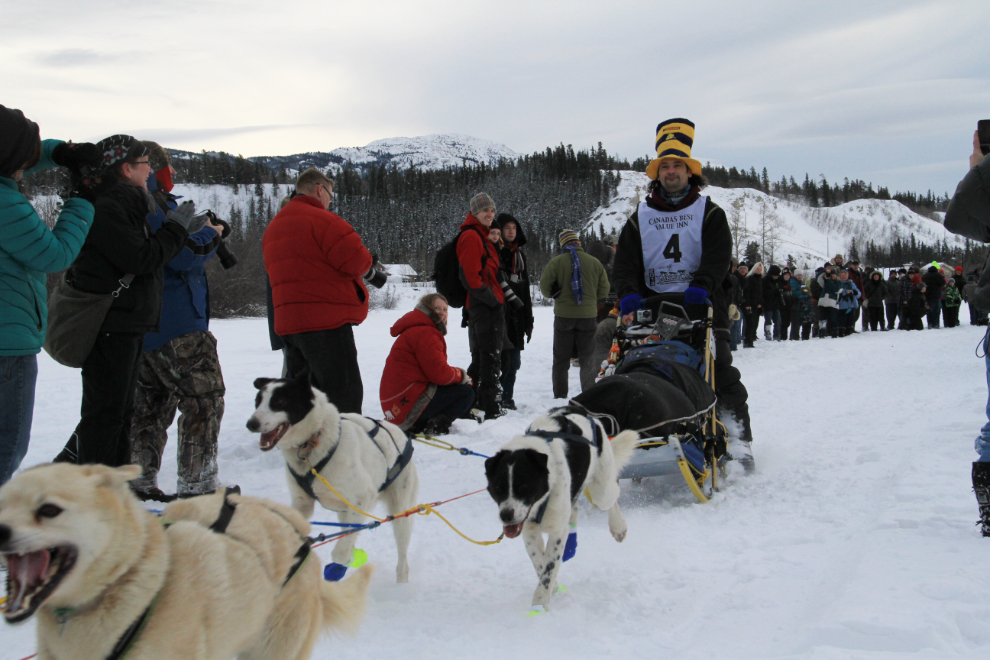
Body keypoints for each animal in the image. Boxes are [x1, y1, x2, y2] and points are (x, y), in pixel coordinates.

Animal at [250, 372, 420, 584]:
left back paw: (401, 585)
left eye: (280, 401)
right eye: (257, 401)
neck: (312, 443)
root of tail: (401, 433)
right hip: (345, 511)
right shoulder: (302, 503)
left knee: (401, 558)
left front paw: (338, 567)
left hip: (400, 514)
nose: (251, 423)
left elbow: (340, 553)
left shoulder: (363, 497)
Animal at [484, 410, 640, 612]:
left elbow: (548, 570)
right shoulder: (530, 532)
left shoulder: (557, 530)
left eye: (524, 486)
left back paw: (618, 526)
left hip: (601, 489)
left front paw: (539, 604)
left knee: (611, 497)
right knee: (574, 510)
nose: (506, 516)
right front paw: (552, 587)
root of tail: (585, 413)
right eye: (498, 487)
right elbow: (540, 563)